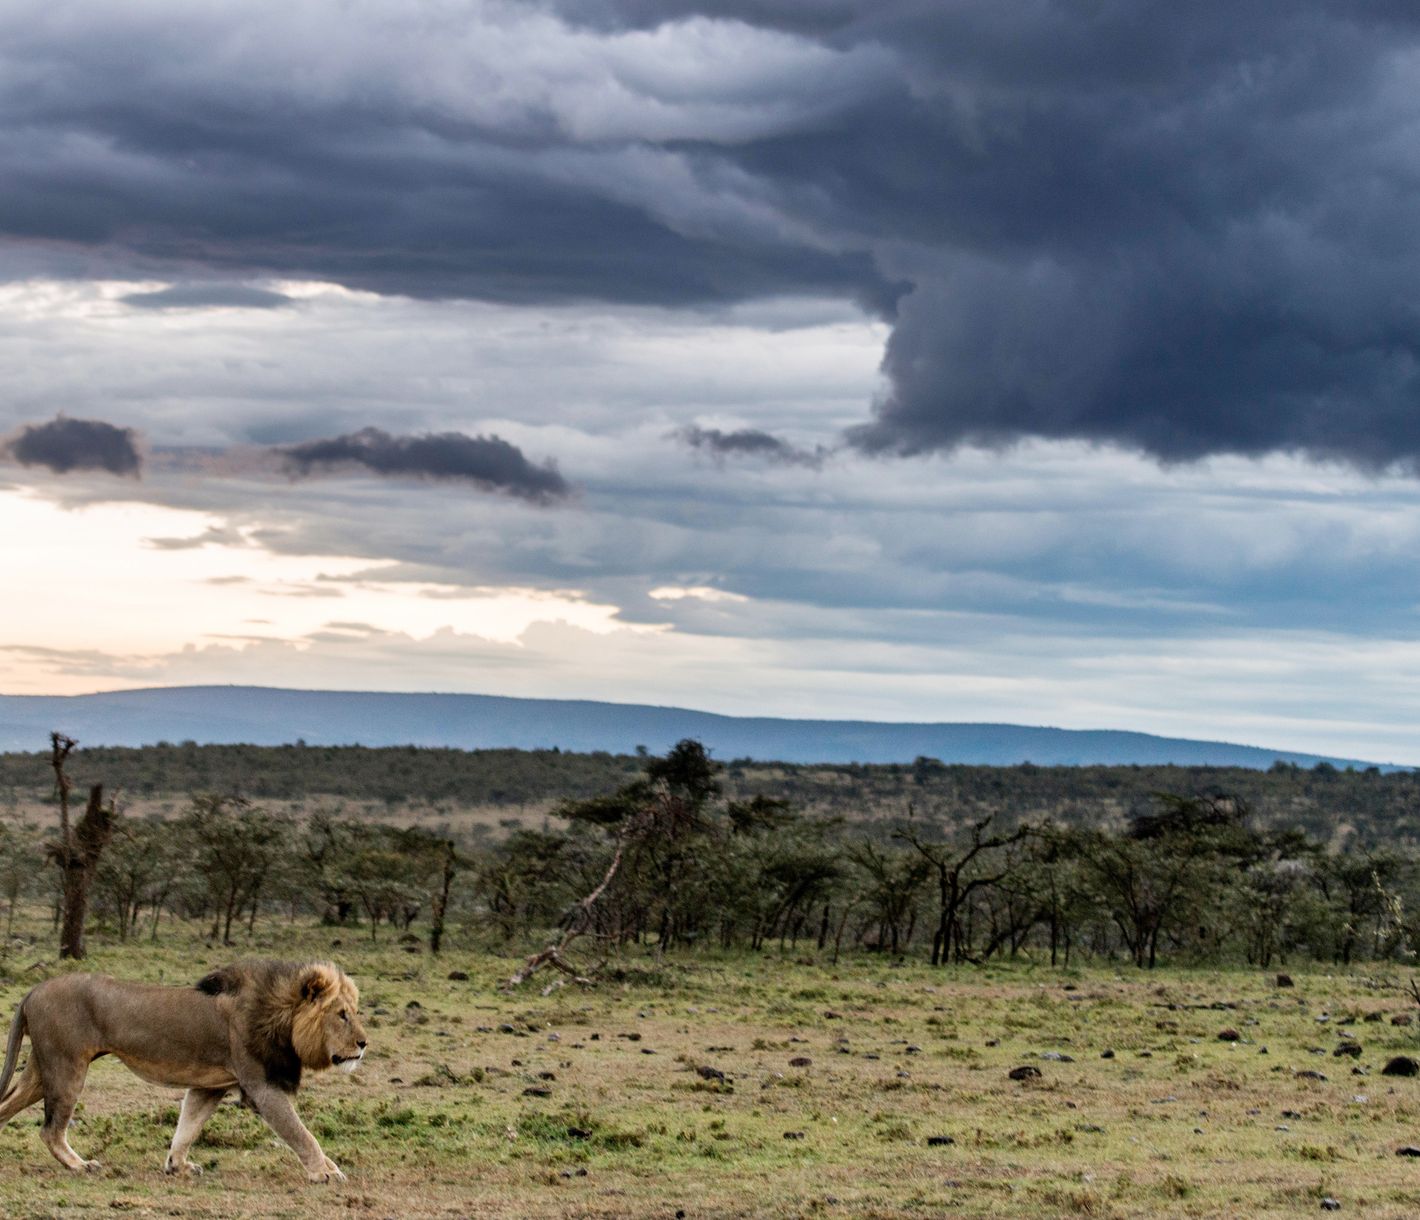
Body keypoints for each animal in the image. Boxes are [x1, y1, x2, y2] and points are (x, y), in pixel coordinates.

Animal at [0, 959, 366, 1182]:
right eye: (342, 1014)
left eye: (354, 1011)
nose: (364, 1044)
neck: (281, 1015)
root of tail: (32, 991)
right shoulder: (261, 1087)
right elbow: (301, 1133)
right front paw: (325, 1172)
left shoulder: (210, 1086)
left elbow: (188, 1125)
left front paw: (177, 1165)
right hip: (67, 1067)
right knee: (51, 1130)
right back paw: (79, 1164)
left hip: (42, 1070)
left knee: (7, 1106)